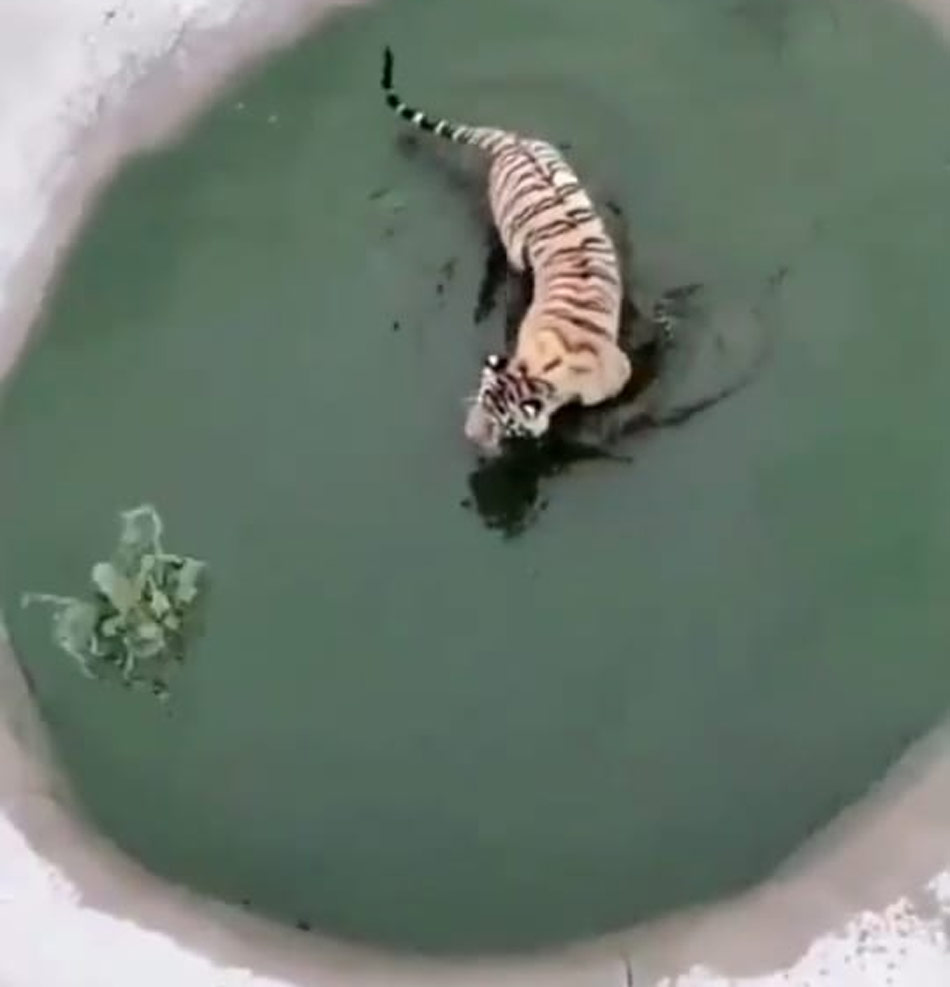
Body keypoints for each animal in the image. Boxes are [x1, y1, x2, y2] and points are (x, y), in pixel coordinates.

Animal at [381, 46, 638, 456]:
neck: (535, 372)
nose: (471, 436)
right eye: (482, 399)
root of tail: (510, 140)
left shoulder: (618, 375)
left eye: (503, 424)